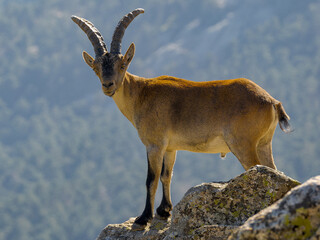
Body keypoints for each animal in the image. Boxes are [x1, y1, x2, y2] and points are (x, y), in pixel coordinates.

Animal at [71, 8, 292, 231]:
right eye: (96, 67)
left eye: (122, 64)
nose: (108, 85)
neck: (141, 94)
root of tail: (271, 101)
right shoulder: (170, 147)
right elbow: (166, 175)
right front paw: (164, 210)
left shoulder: (154, 144)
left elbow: (151, 179)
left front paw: (144, 218)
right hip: (263, 143)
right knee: (273, 171)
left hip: (243, 144)